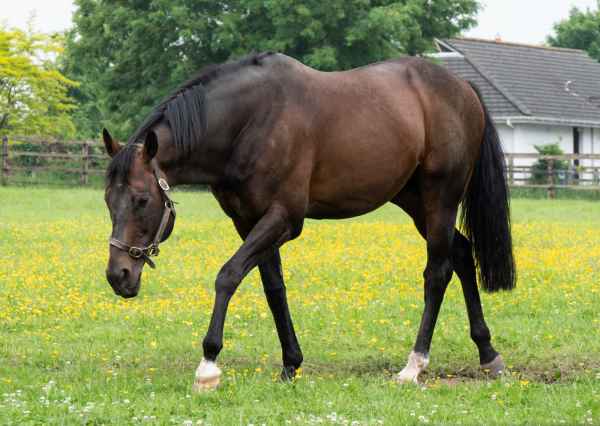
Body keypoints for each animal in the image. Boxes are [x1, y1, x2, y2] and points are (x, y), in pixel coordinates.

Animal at [102, 52, 515, 391]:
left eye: (141, 200)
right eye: (108, 201)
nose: (118, 275)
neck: (250, 121)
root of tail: (463, 88)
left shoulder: (283, 218)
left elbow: (228, 275)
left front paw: (208, 365)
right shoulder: (248, 220)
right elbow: (273, 288)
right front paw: (290, 364)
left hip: (440, 199)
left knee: (437, 273)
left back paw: (414, 366)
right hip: (414, 201)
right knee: (461, 253)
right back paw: (488, 353)